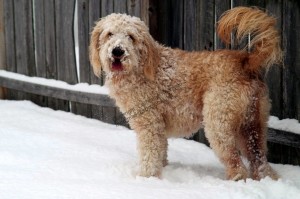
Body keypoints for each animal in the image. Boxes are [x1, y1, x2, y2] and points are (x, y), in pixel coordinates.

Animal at [90, 6, 282, 180]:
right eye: (109, 34)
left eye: (131, 36)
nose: (117, 51)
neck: (140, 65)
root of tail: (246, 61)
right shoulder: (159, 128)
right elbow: (161, 152)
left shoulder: (149, 125)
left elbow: (149, 156)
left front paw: (146, 179)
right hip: (253, 125)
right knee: (260, 161)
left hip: (218, 124)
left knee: (236, 164)